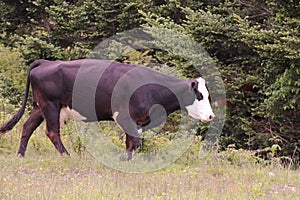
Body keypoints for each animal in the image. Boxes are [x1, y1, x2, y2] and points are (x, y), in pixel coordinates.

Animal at [0, 59, 216, 159]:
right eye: (199, 95)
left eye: (208, 95)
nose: (211, 116)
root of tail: (46, 62)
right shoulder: (125, 117)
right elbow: (135, 142)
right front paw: (122, 159)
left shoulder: (137, 121)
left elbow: (131, 142)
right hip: (50, 105)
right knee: (52, 132)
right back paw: (68, 156)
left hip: (40, 107)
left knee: (27, 126)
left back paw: (20, 155)